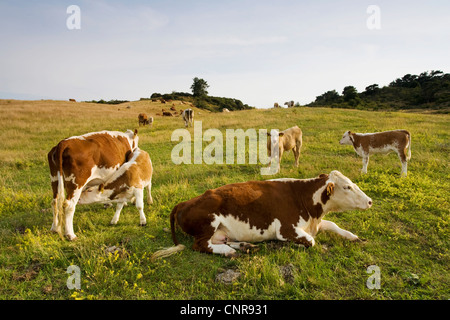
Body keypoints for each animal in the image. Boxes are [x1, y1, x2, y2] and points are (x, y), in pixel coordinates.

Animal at [152, 170, 372, 258]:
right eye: (347, 187)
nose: (370, 201)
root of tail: (184, 202)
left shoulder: (314, 223)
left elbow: (334, 225)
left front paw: (354, 237)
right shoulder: (286, 229)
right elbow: (311, 241)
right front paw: (291, 245)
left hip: (220, 230)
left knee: (220, 240)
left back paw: (244, 246)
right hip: (208, 222)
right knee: (200, 245)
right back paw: (229, 251)